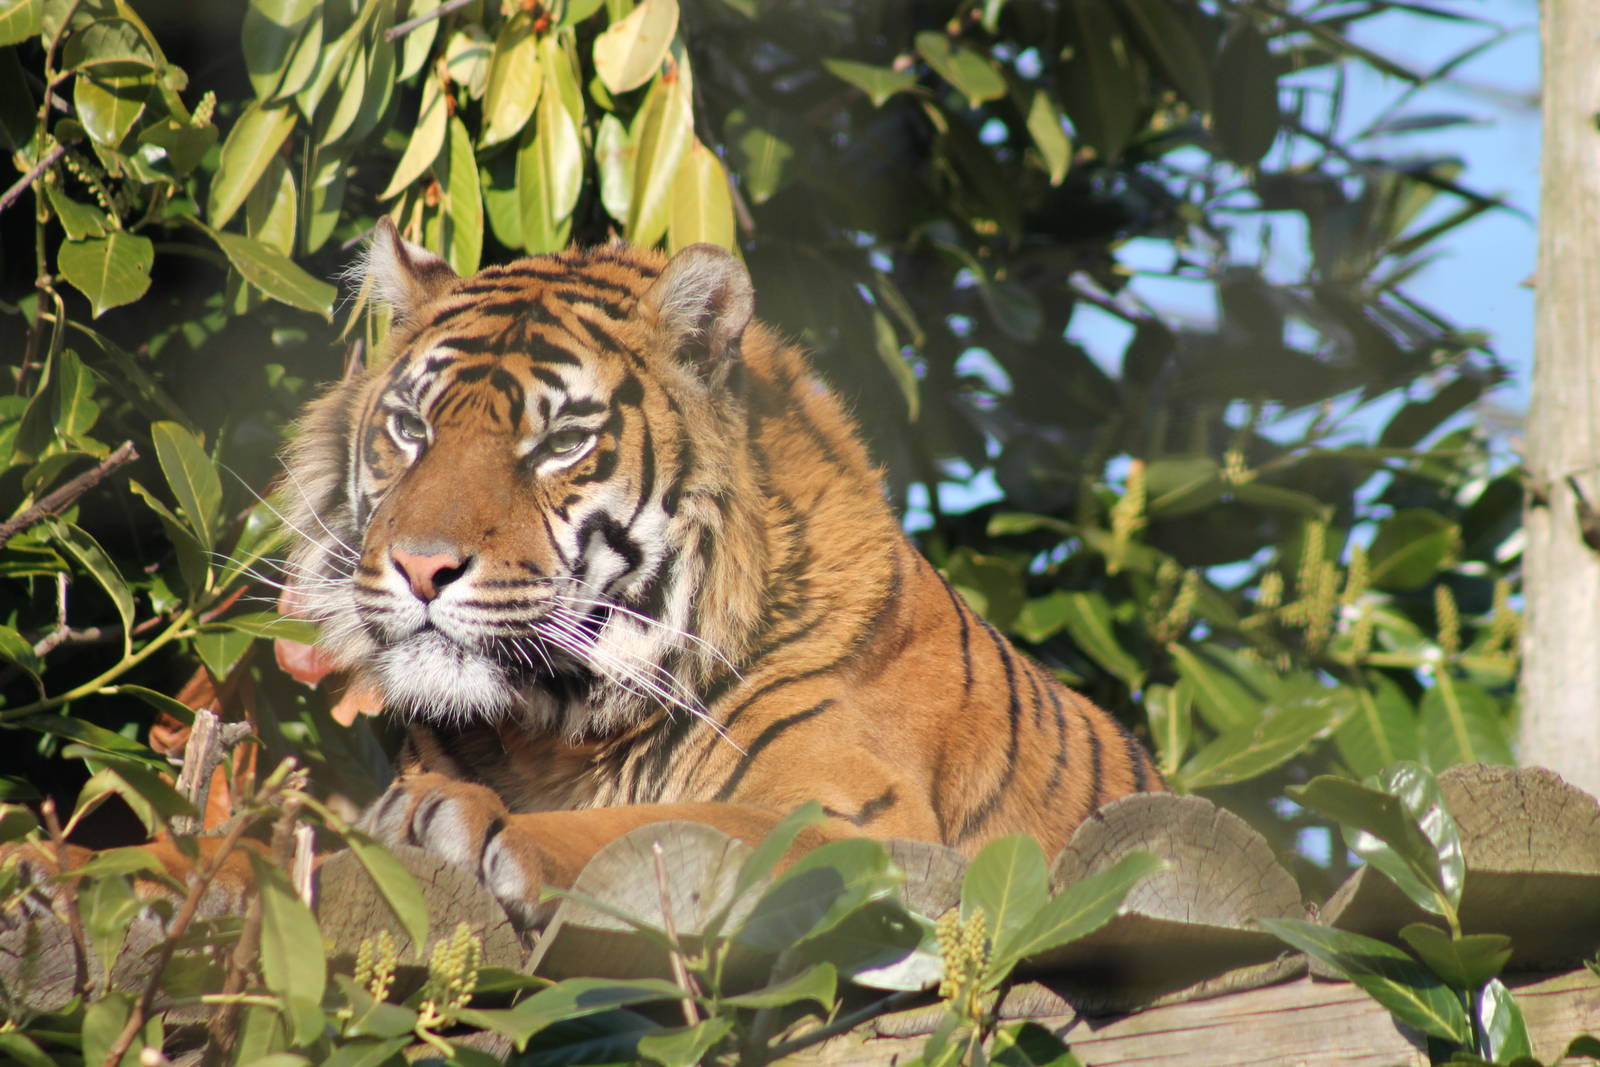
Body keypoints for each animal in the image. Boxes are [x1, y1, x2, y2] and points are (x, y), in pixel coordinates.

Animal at [277, 218, 1162, 925]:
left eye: (562, 442)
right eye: (410, 428)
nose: (421, 566)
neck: (550, 733)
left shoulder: (863, 824)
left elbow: (652, 829)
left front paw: (463, 818)